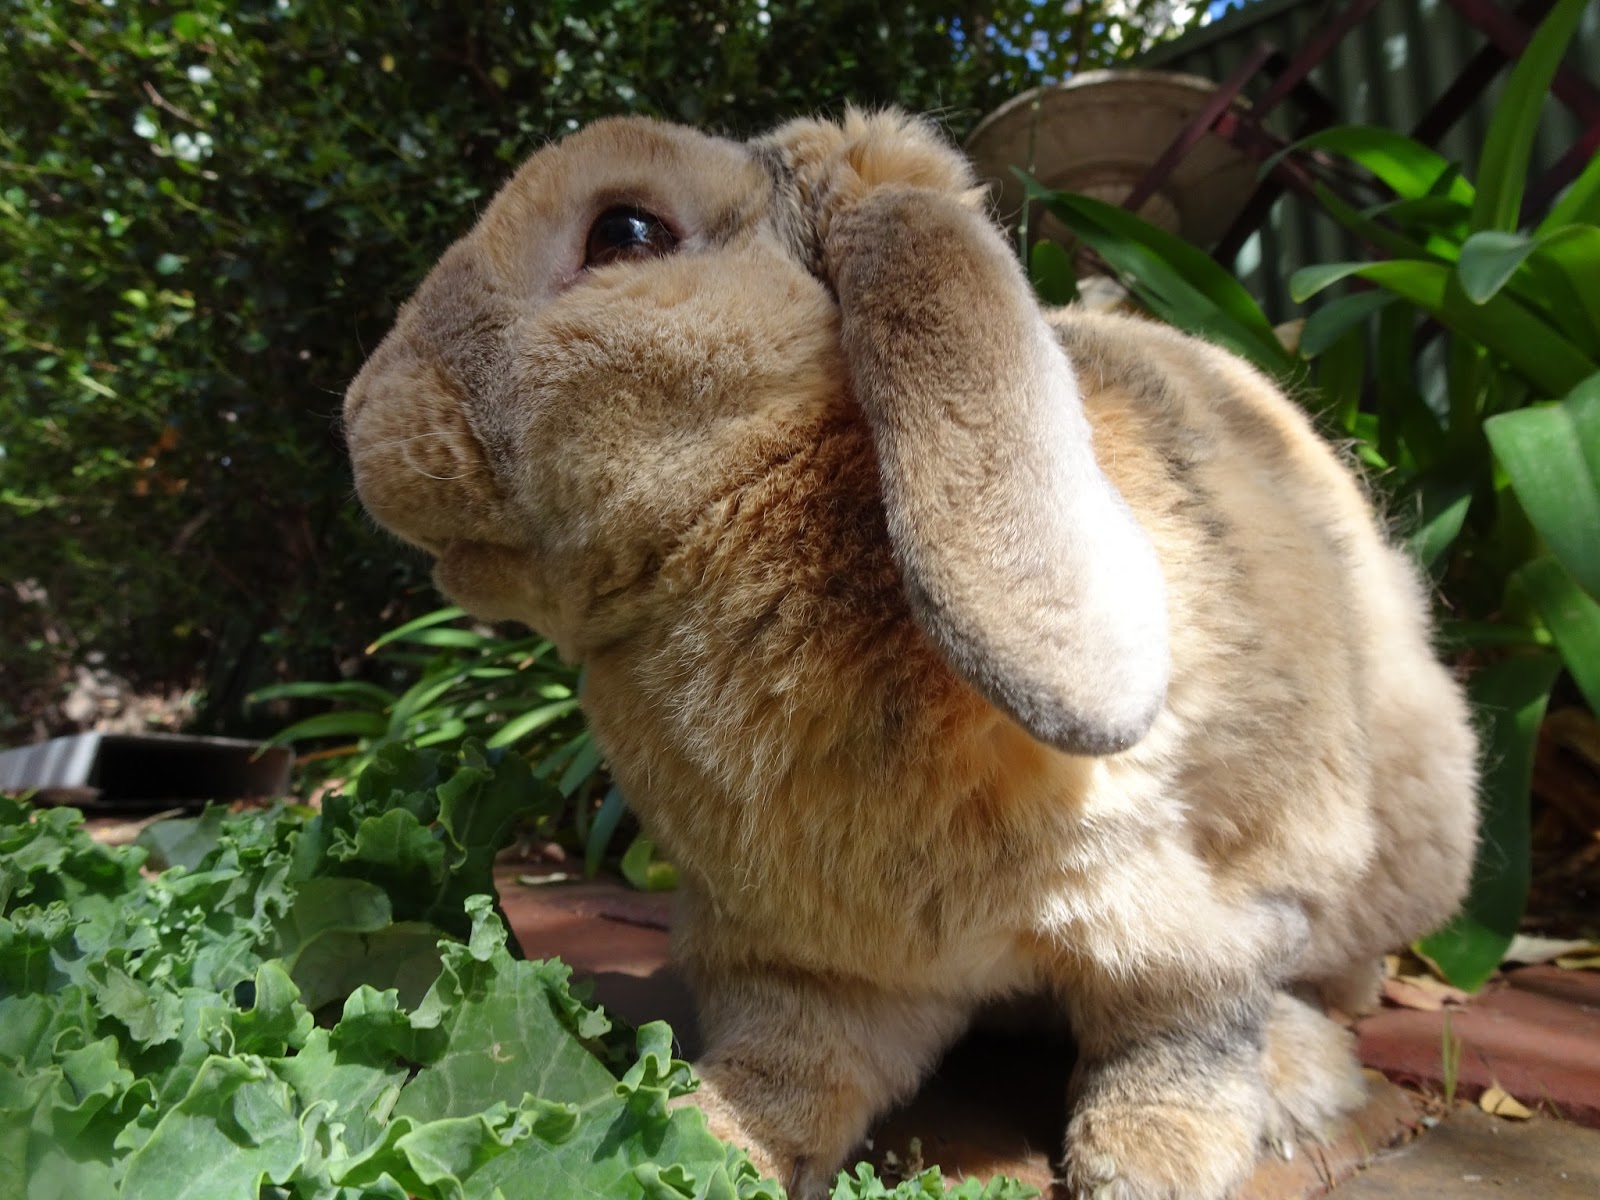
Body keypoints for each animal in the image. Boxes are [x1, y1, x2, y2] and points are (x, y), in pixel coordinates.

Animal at [342, 108, 1480, 1200]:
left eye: (625, 232)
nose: (359, 413)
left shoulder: (1192, 916)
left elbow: (1183, 1028)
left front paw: (1154, 1160)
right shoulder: (812, 962)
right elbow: (793, 1068)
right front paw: (701, 1138)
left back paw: (1298, 1072)